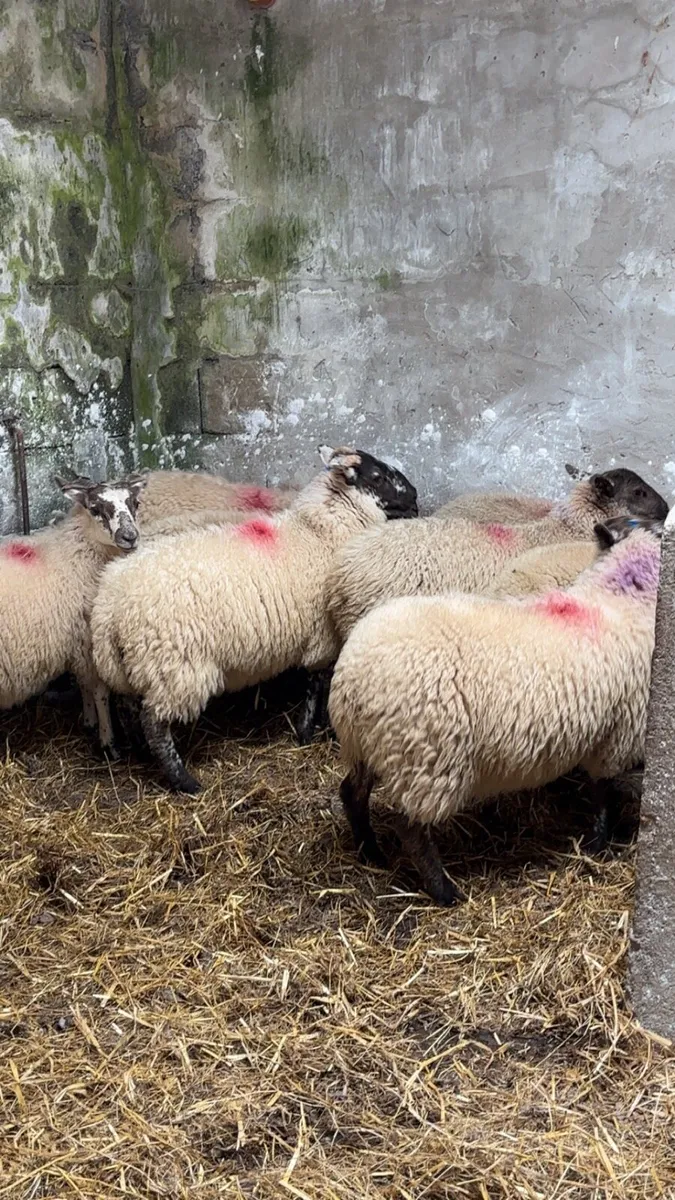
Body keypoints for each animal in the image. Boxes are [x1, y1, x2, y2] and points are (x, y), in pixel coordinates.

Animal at [0, 473, 146, 756]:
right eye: (95, 508)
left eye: (134, 502)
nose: (129, 537)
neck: (80, 550)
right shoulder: (88, 639)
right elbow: (99, 691)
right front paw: (107, 741)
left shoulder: (76, 638)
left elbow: (83, 685)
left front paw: (88, 721)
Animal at [90, 447, 418, 793]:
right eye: (377, 477)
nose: (414, 496)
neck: (318, 533)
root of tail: (109, 600)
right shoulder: (323, 637)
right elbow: (315, 686)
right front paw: (306, 731)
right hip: (174, 665)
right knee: (154, 723)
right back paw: (185, 781)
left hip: (128, 664)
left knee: (127, 707)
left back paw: (140, 752)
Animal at [328, 516, 663, 905]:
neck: (616, 598)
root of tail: (352, 674)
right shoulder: (618, 734)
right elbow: (603, 792)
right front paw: (600, 842)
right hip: (428, 759)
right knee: (410, 827)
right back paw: (444, 890)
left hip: (372, 746)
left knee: (352, 793)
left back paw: (370, 852)